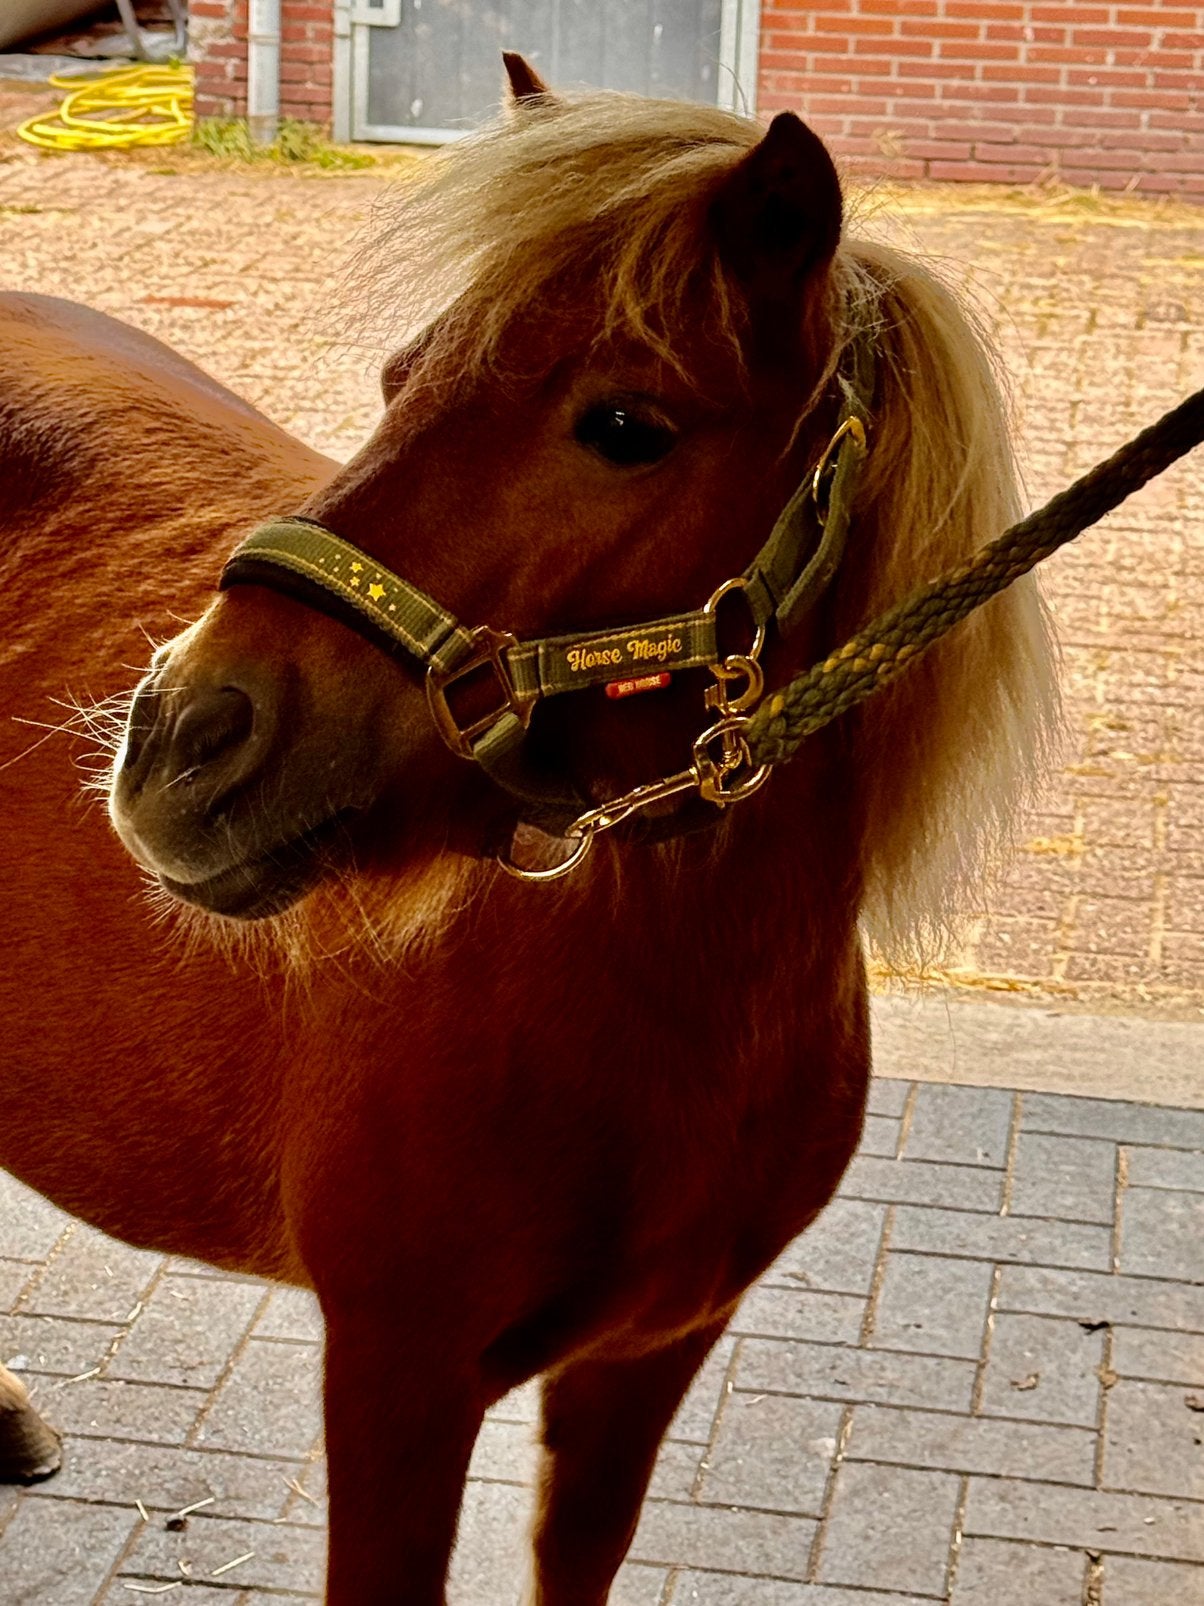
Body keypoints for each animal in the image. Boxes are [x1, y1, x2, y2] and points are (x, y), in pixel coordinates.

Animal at [0, 57, 1058, 1602]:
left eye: (626, 427)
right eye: (400, 381)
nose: (182, 737)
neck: (670, 1011)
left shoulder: (642, 1366)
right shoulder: (399, 1377)